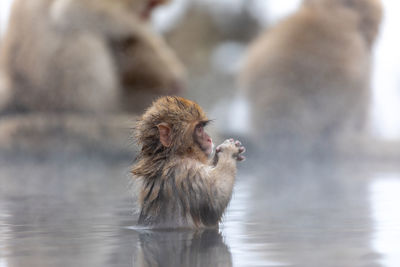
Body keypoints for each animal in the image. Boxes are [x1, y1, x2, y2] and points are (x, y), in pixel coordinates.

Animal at [132, 96, 244, 228]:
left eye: (202, 127)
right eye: (199, 129)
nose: (209, 139)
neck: (169, 156)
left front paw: (218, 155)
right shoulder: (187, 170)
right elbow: (215, 202)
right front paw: (229, 151)